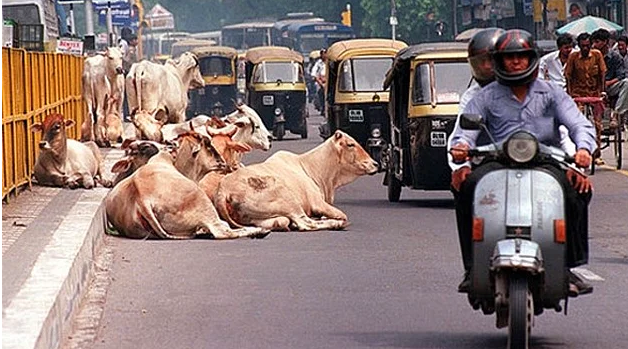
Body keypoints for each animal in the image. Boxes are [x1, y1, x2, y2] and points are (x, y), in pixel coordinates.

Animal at [213, 130, 378, 231]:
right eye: (351, 144)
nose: (375, 164)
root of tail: (223, 191)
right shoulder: (317, 203)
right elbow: (342, 215)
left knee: (281, 222)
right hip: (288, 200)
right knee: (306, 223)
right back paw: (335, 224)